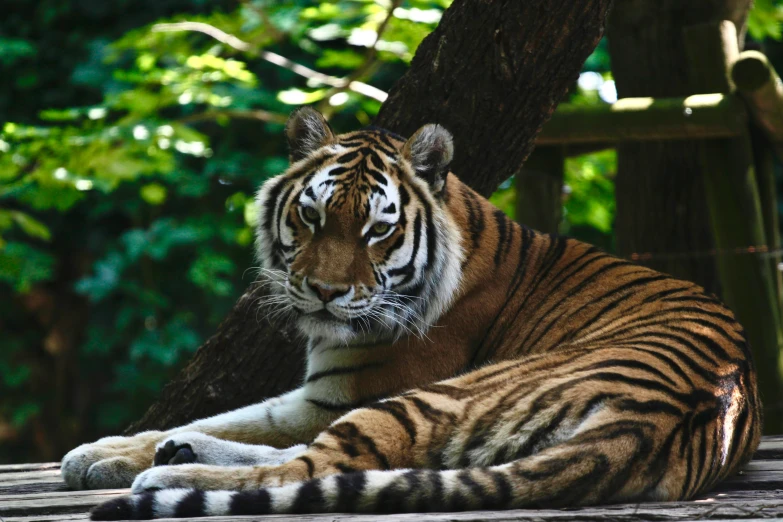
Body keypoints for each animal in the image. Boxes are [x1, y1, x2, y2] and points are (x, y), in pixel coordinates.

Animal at [64, 106, 764, 520]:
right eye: (311, 216)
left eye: (377, 230)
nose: (324, 292)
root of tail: (644, 423)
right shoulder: (318, 393)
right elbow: (228, 416)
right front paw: (102, 452)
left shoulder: (344, 393)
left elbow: (257, 427)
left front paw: (120, 460)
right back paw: (176, 454)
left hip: (431, 399)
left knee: (314, 467)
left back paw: (167, 479)